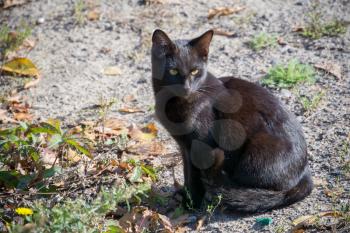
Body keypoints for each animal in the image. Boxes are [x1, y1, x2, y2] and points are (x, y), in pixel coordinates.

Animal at [152, 29, 314, 213]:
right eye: (173, 71)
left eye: (195, 71)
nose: (186, 88)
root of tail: (305, 172)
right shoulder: (184, 146)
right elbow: (187, 173)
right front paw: (185, 197)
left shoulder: (200, 143)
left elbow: (194, 177)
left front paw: (190, 205)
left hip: (253, 156)